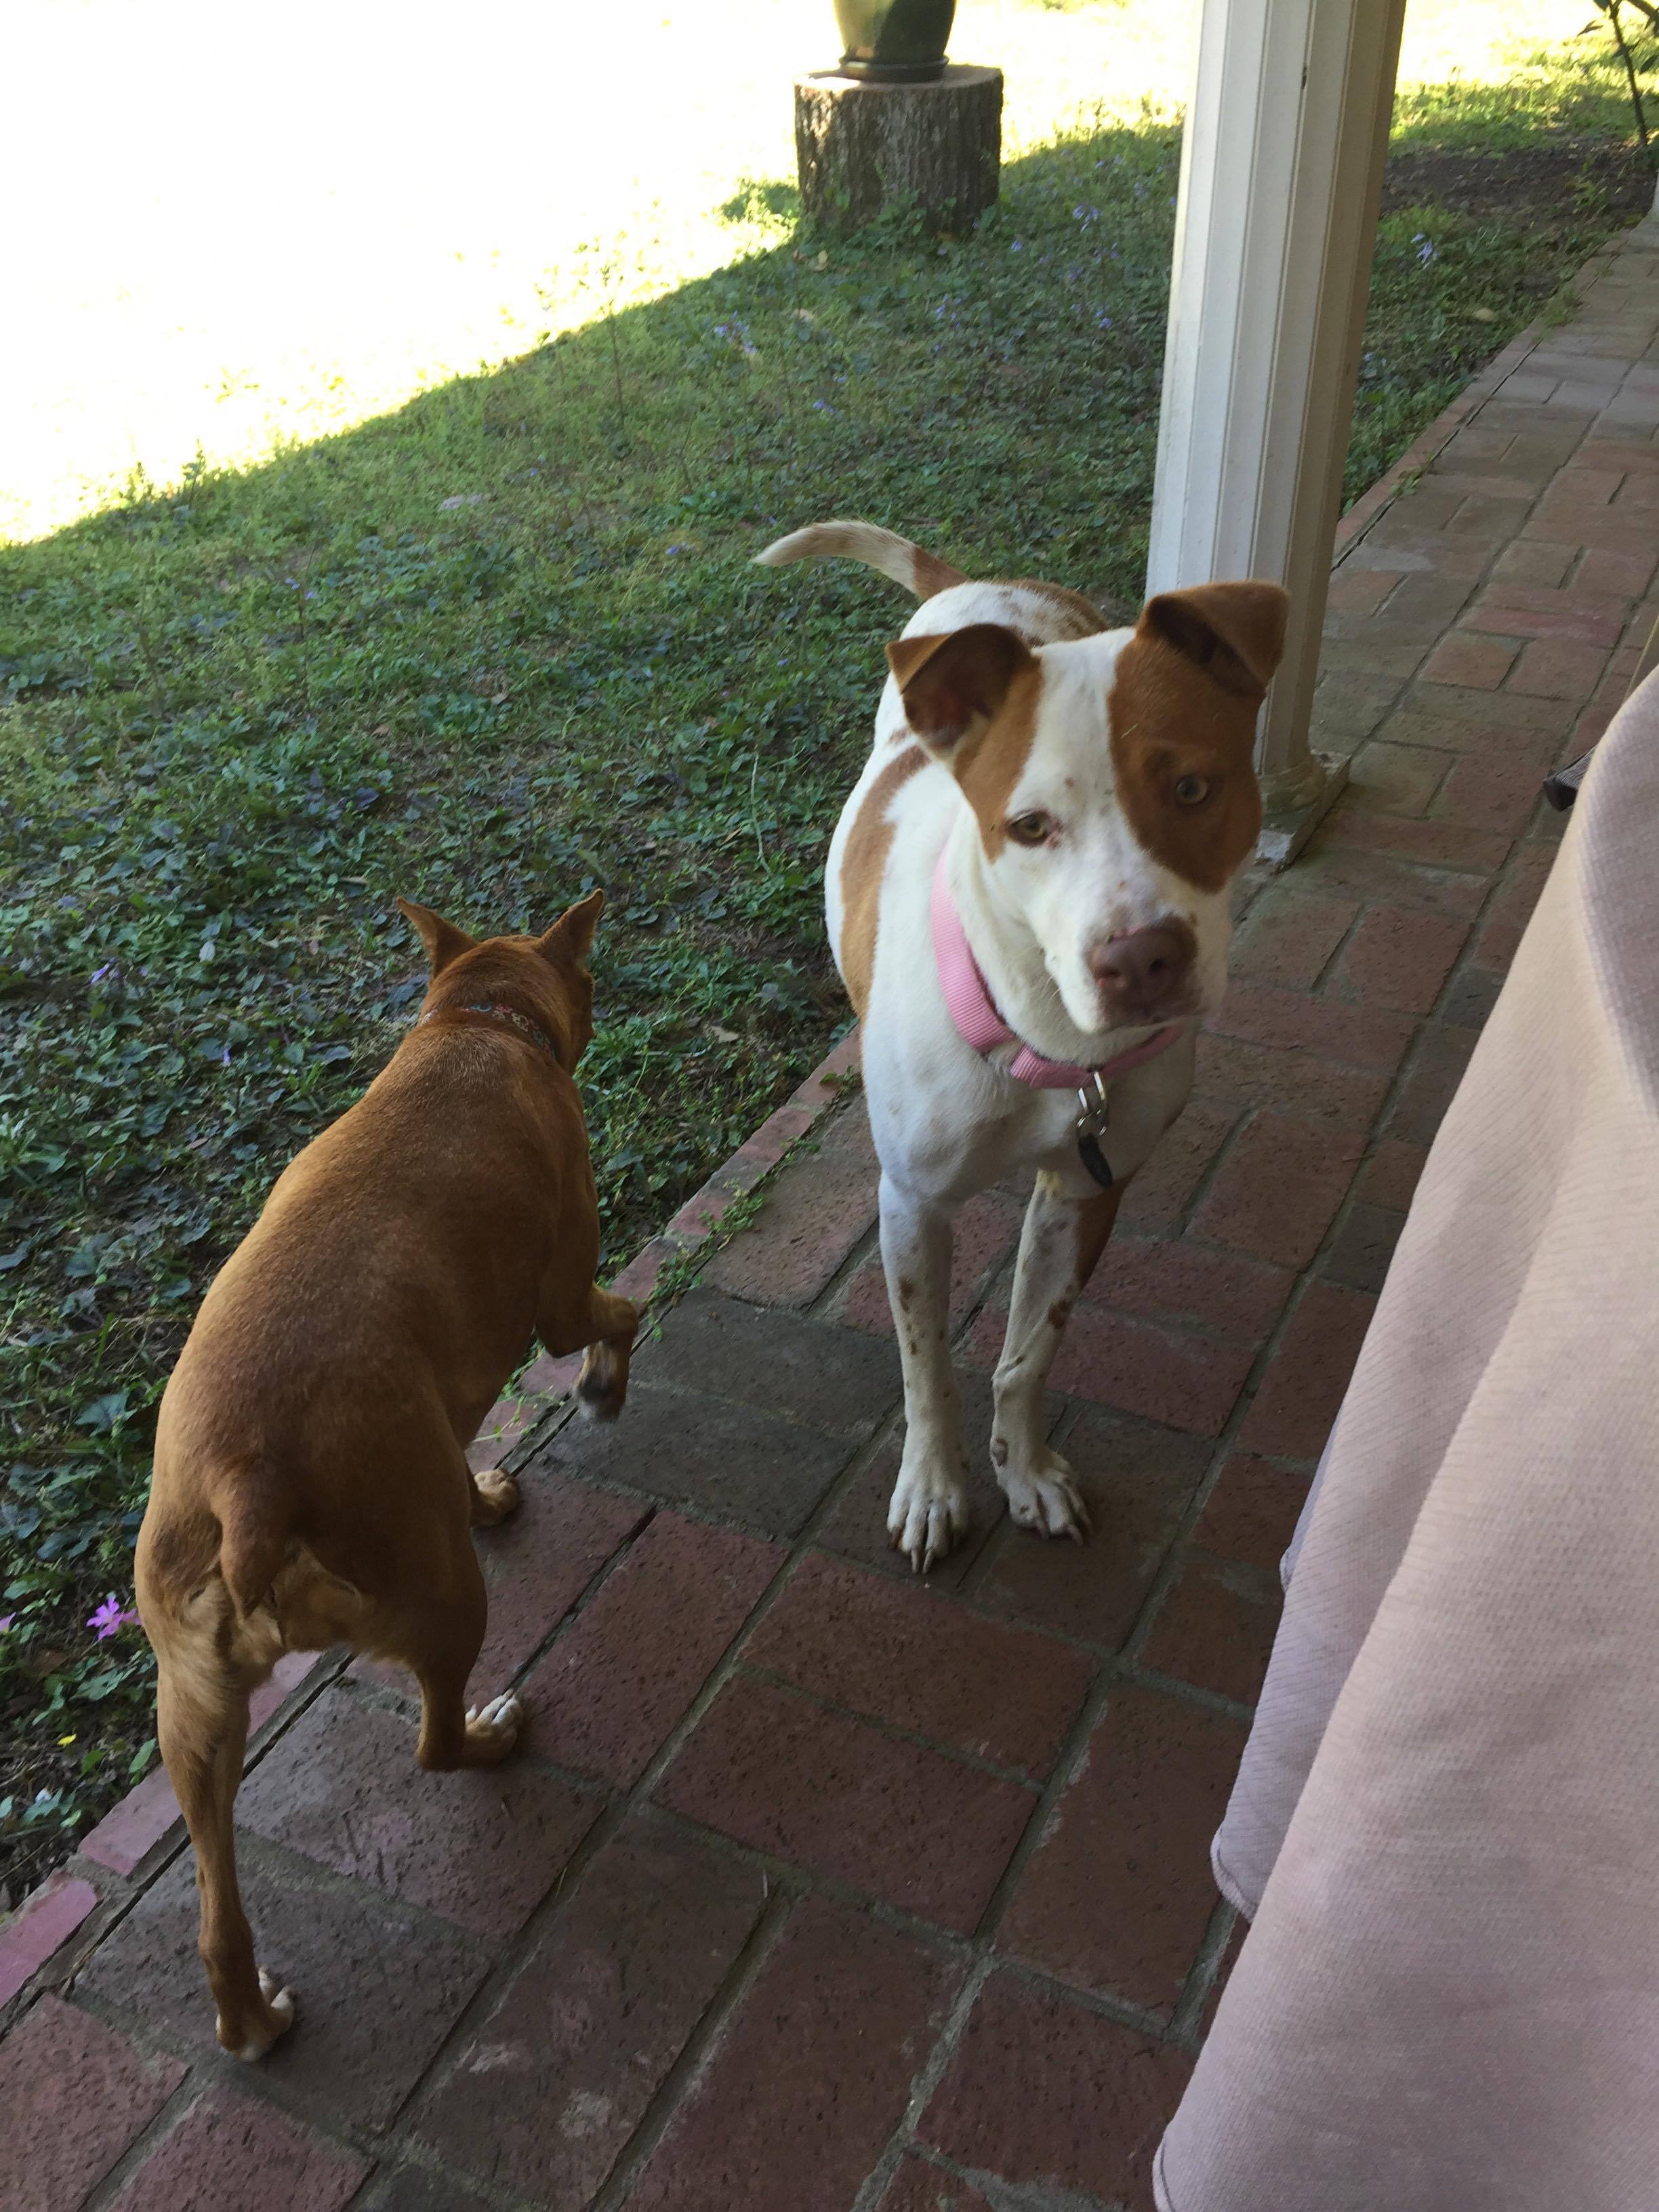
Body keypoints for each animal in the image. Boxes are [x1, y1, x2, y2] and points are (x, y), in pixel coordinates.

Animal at [135, 892, 637, 2058]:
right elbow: (619, 1317)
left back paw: (251, 2019)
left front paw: (486, 1493)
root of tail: (247, 1482)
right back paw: (492, 1737)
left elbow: (464, 1457)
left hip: (192, 1713)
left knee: (215, 1911)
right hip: (444, 1602)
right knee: (434, 1746)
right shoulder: (560, 1294)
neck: (476, 1020)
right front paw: (604, 1385)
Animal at [756, 521, 1287, 1570]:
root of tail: (979, 585)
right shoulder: (912, 1204)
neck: (1044, 1038)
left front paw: (1024, 1469)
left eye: (1193, 786)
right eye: (1030, 827)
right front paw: (934, 1487)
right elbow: (926, 1368)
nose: (1140, 958)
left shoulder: (1088, 1189)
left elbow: (1028, 1353)